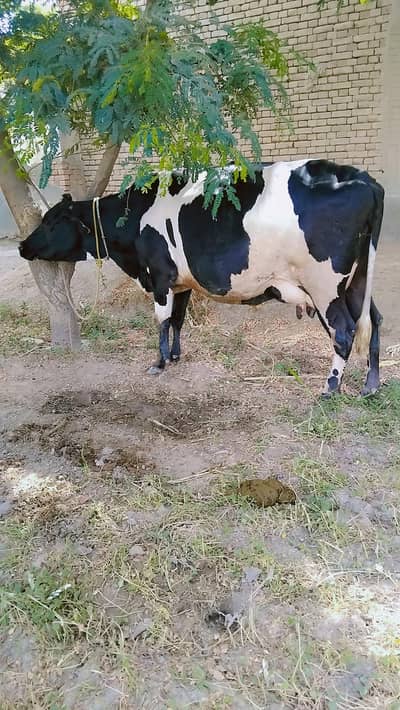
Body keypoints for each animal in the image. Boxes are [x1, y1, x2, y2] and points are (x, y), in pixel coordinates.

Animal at [19, 159, 384, 396]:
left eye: (51, 221)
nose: (23, 245)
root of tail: (365, 180)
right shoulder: (181, 282)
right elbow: (178, 320)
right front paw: (175, 356)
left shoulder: (160, 277)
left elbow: (162, 321)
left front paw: (159, 363)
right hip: (356, 281)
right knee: (373, 320)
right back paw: (371, 385)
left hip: (325, 285)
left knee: (344, 330)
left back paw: (330, 388)